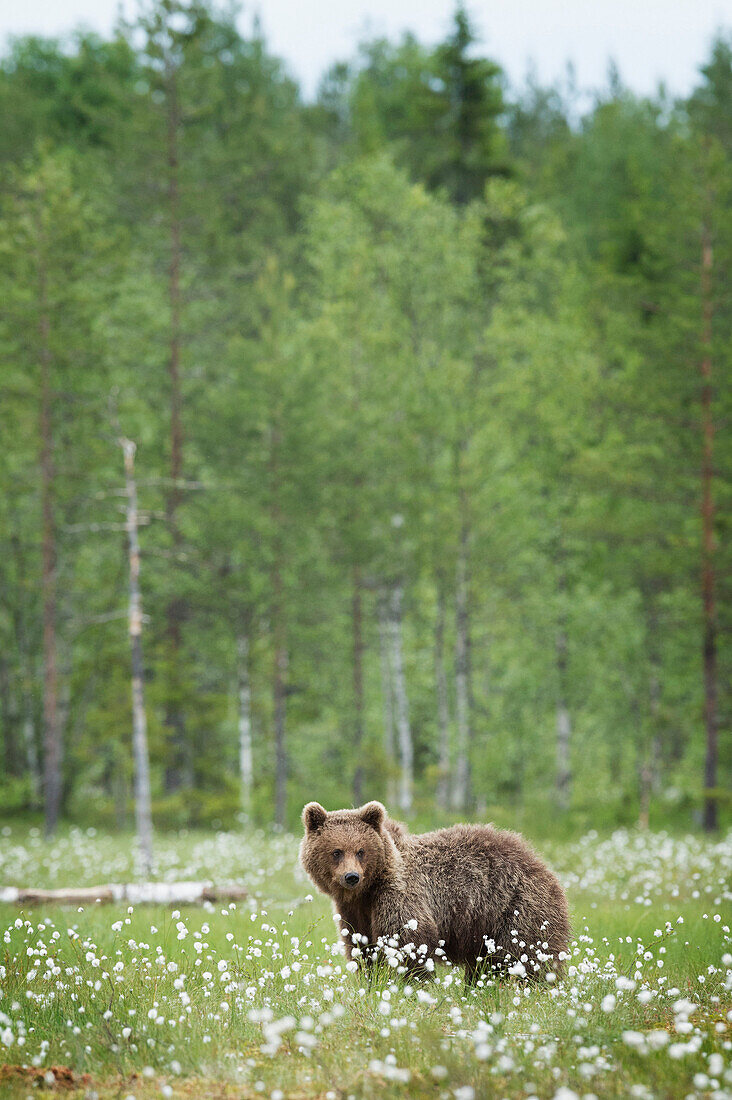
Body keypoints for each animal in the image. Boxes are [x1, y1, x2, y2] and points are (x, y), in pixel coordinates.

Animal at [299, 800, 572, 981]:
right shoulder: (354, 912)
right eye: (336, 851)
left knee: (525, 955)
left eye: (360, 851)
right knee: (484, 963)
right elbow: (363, 947)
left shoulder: (398, 896)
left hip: (516, 907)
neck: (368, 891)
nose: (351, 877)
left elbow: (409, 942)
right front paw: (372, 981)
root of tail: (542, 865)